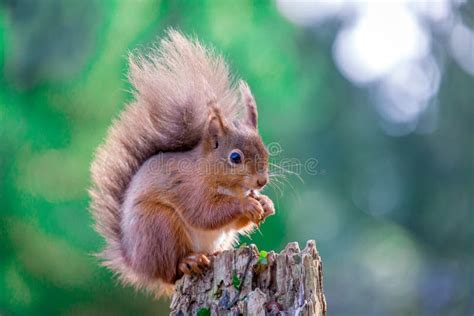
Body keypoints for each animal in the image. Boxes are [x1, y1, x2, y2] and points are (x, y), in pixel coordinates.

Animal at [89, 29, 274, 296]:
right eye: (235, 157)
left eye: (266, 150)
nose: (262, 181)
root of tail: (137, 264)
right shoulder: (188, 188)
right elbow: (206, 214)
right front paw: (246, 205)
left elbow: (233, 224)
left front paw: (265, 204)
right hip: (159, 226)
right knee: (171, 271)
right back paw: (188, 261)